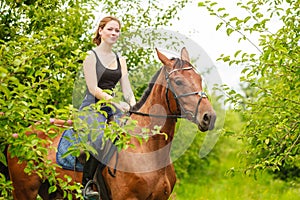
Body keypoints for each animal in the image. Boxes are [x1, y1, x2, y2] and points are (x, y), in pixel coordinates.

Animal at [6, 47, 216, 199]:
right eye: (178, 82)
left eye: (199, 79)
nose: (209, 117)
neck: (147, 149)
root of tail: (19, 137)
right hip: (24, 191)